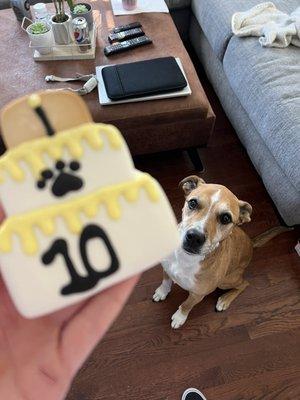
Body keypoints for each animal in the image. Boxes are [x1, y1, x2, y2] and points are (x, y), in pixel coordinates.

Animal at [154, 175, 290, 328]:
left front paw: (179, 317)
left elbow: (186, 305)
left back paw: (225, 300)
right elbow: (165, 282)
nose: (194, 237)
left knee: (244, 284)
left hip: (226, 280)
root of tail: (251, 242)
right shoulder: (166, 268)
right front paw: (162, 292)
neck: (186, 258)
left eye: (226, 218)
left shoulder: (198, 295)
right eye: (193, 203)